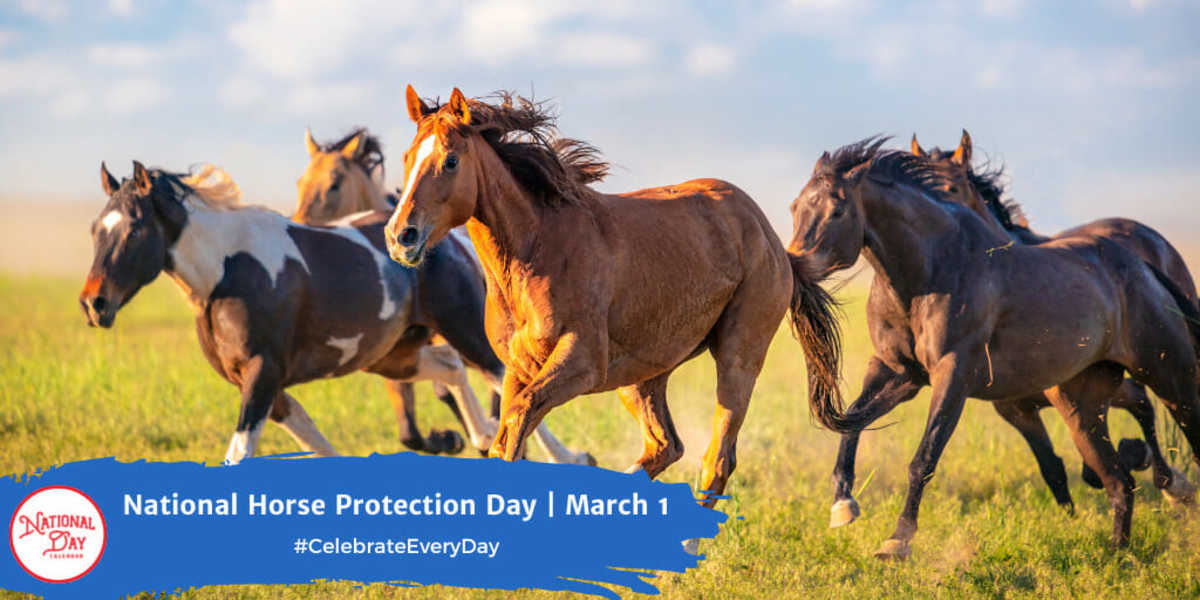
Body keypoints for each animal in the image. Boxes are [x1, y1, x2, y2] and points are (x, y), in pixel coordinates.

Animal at [80, 162, 499, 464]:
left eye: (134, 230)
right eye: (96, 229)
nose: (93, 303)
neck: (226, 275)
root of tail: (451, 238)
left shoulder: (262, 376)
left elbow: (238, 454)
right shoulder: (267, 388)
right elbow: (319, 447)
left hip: (466, 332)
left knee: (500, 376)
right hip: (392, 357)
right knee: (450, 366)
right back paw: (478, 436)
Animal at [295, 127, 592, 465]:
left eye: (333, 184)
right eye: (301, 182)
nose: (299, 224)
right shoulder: (399, 353)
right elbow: (411, 428)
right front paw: (449, 439)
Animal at [382, 87, 843, 547]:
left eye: (450, 160)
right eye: (407, 157)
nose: (401, 236)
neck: (536, 250)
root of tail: (771, 237)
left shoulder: (581, 363)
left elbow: (518, 421)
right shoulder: (518, 367)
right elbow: (506, 434)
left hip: (738, 357)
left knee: (718, 458)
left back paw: (687, 546)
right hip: (642, 376)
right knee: (665, 445)